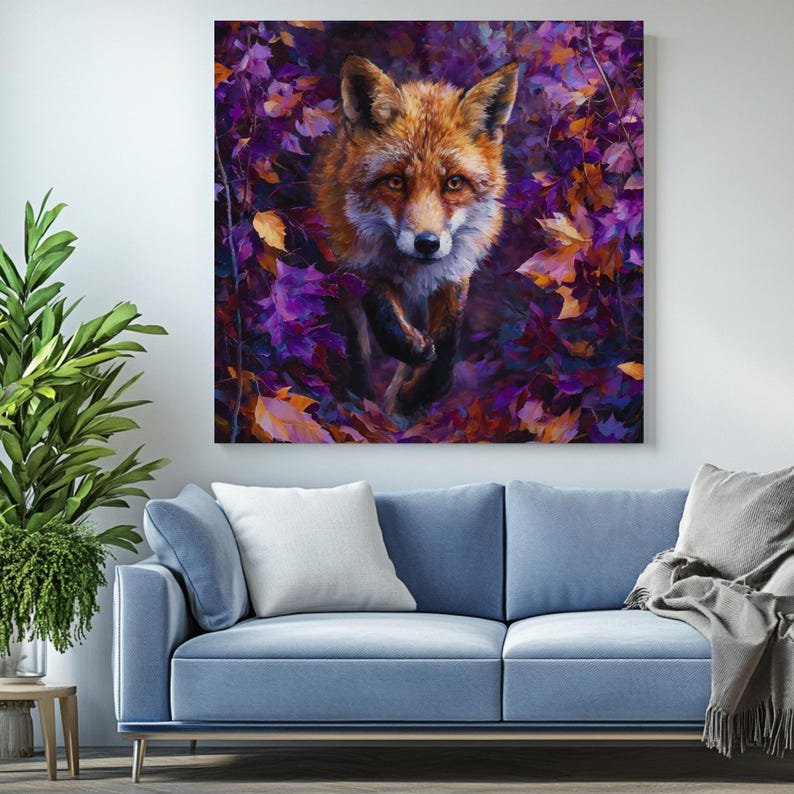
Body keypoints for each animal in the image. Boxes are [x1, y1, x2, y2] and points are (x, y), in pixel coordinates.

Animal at [311, 55, 518, 415]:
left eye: (454, 183)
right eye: (396, 181)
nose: (427, 244)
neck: (413, 269)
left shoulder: (454, 272)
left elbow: (448, 341)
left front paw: (421, 392)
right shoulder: (351, 256)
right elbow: (379, 305)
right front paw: (411, 349)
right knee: (358, 348)